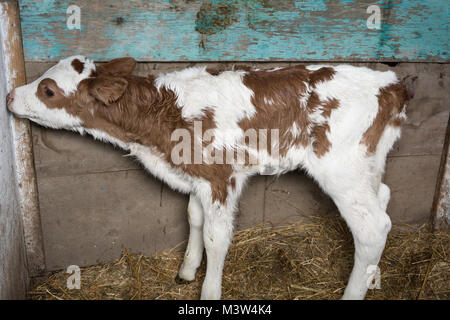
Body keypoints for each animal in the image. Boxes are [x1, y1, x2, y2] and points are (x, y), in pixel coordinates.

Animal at [6, 56, 412, 298]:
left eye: (48, 90)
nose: (9, 96)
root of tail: (391, 84)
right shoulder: (197, 176)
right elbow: (193, 217)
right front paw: (187, 270)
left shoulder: (220, 177)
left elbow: (217, 237)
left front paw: (209, 291)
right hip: (367, 164)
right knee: (384, 196)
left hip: (340, 168)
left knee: (373, 226)